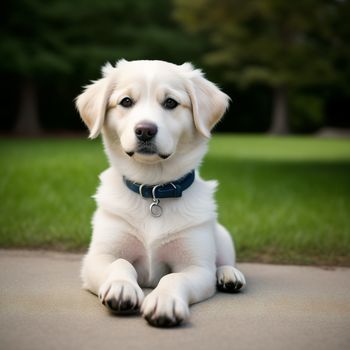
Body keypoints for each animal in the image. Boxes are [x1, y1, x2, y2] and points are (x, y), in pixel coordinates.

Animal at [76, 59, 246, 328]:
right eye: (126, 101)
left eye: (170, 103)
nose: (145, 130)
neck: (153, 190)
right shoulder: (97, 258)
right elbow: (120, 262)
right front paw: (121, 286)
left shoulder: (196, 268)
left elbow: (174, 278)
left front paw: (164, 301)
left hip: (221, 234)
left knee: (223, 261)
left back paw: (229, 274)